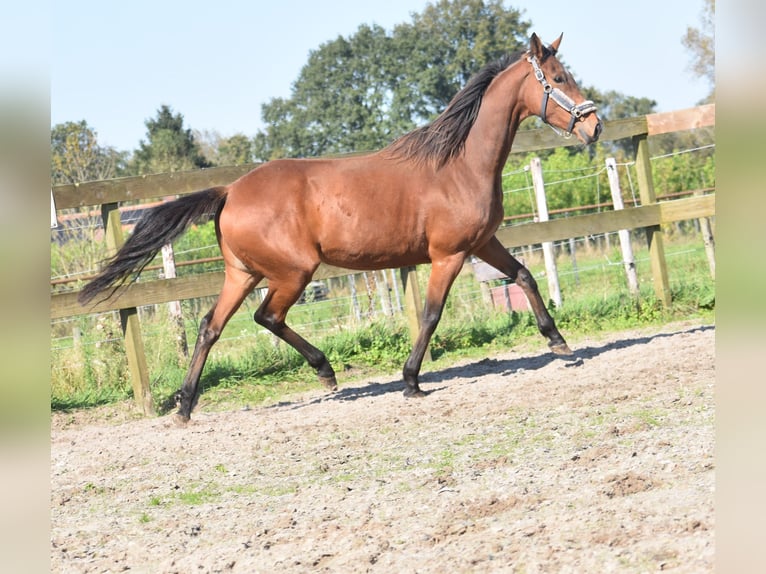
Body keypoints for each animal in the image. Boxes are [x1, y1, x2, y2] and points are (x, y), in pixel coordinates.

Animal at [79, 33, 608, 426]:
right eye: (558, 78)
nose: (595, 127)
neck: (459, 163)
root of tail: (229, 191)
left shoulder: (483, 241)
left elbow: (524, 276)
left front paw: (558, 341)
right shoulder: (449, 254)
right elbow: (432, 314)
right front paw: (411, 381)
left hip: (242, 273)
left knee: (212, 327)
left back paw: (186, 406)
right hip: (293, 272)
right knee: (267, 317)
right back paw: (326, 372)